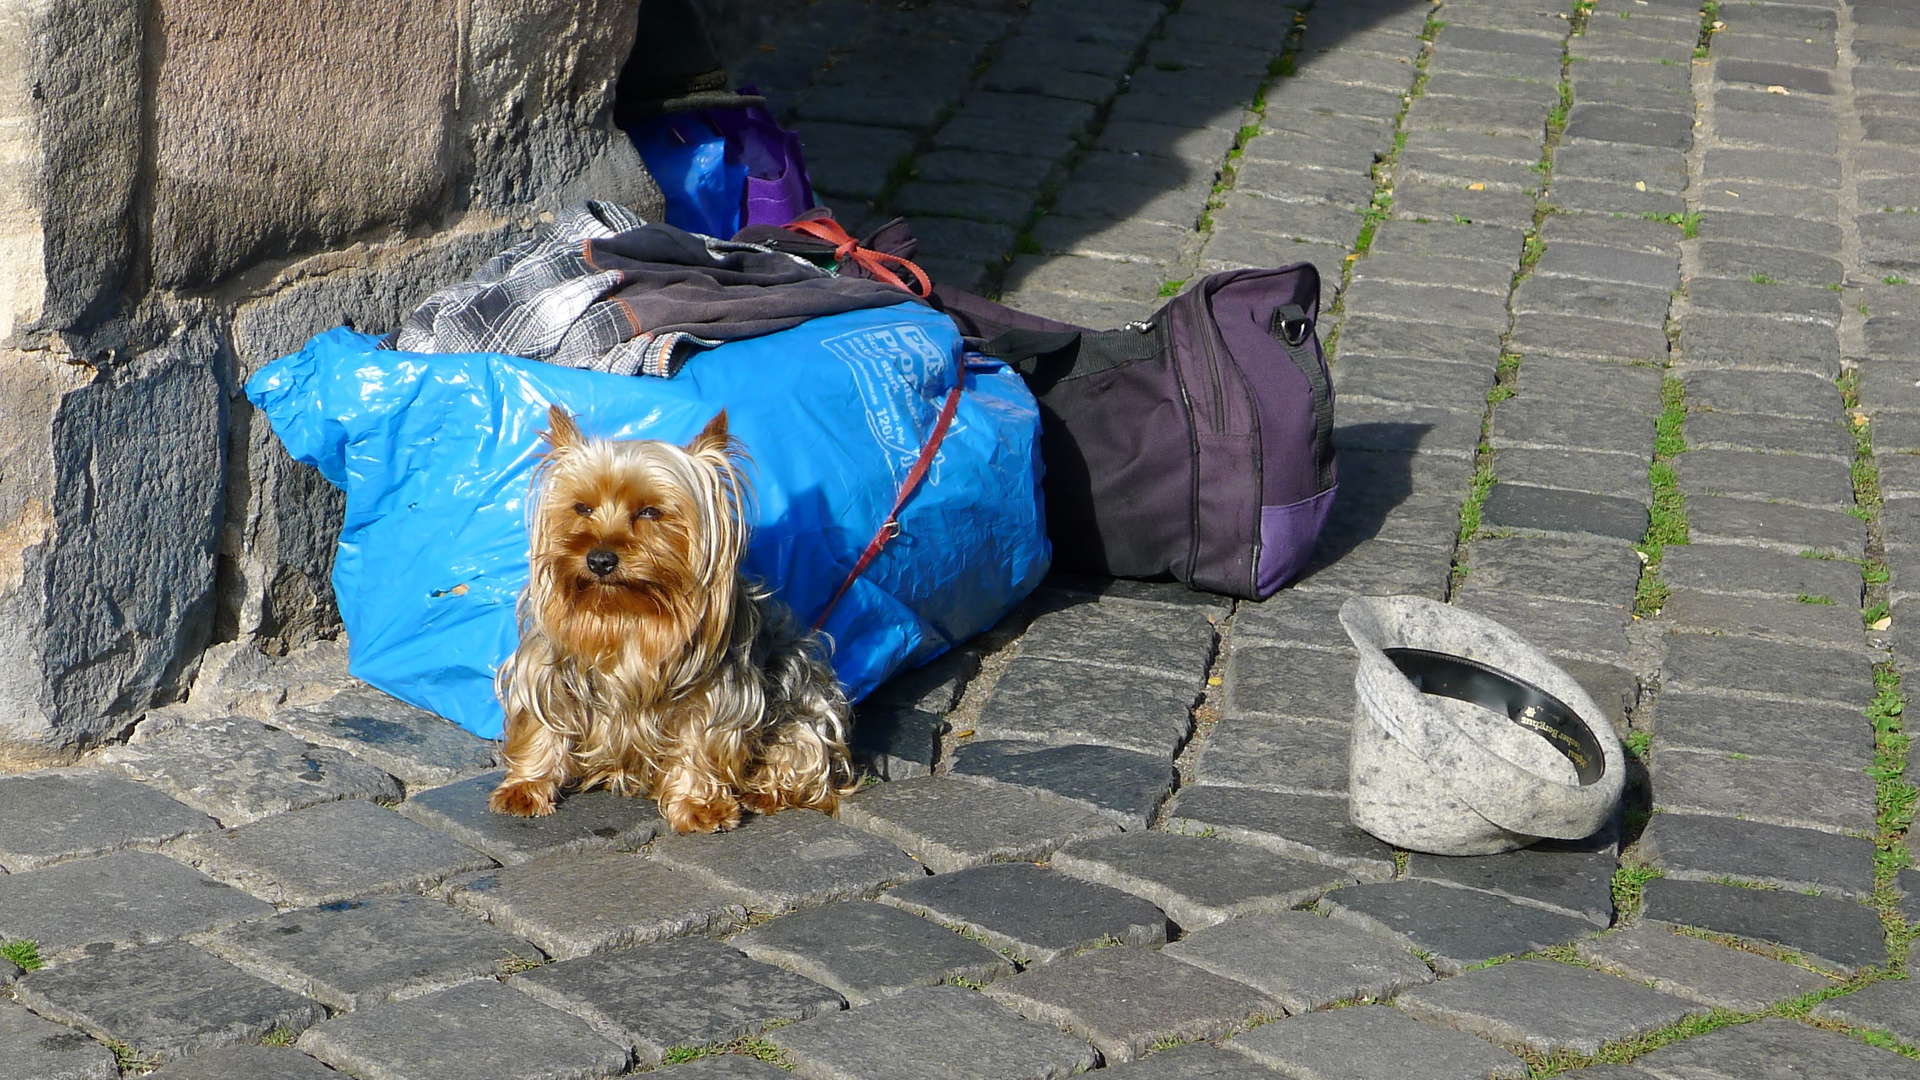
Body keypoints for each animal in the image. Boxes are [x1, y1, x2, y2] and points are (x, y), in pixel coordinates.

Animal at [487, 399, 856, 826]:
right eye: (582, 507)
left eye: (650, 511)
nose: (599, 560)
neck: (627, 615)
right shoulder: (549, 669)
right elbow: (541, 723)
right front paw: (524, 788)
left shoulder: (713, 693)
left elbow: (700, 738)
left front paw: (699, 804)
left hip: (805, 702)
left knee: (805, 753)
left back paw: (766, 792)